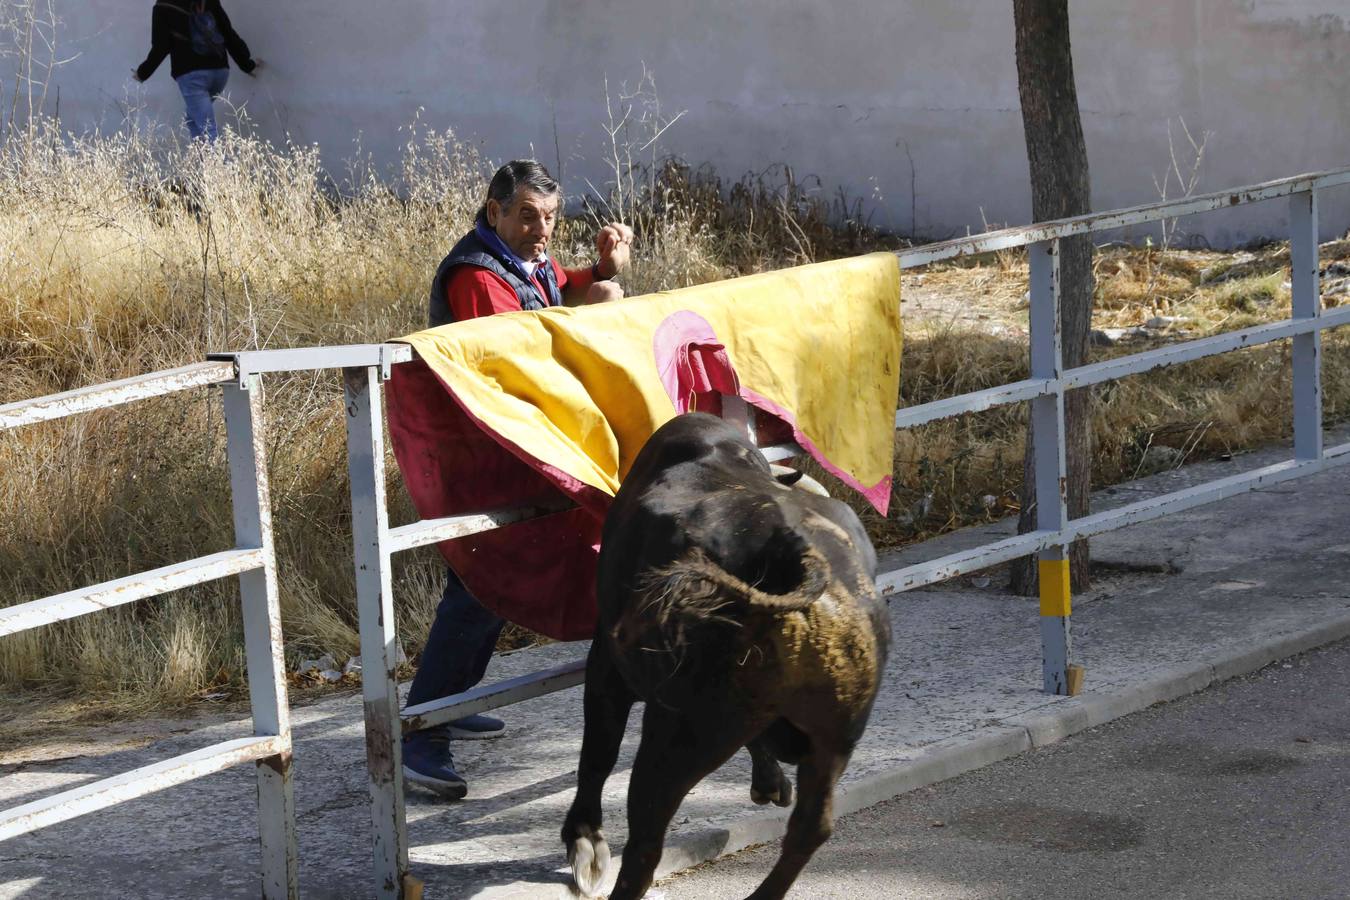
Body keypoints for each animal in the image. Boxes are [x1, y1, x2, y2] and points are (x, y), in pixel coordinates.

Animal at [561, 412, 891, 900]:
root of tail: (795, 553)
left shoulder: (606, 666)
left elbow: (598, 752)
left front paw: (584, 841)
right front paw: (770, 783)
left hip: (679, 734)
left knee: (646, 844)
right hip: (835, 736)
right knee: (812, 826)